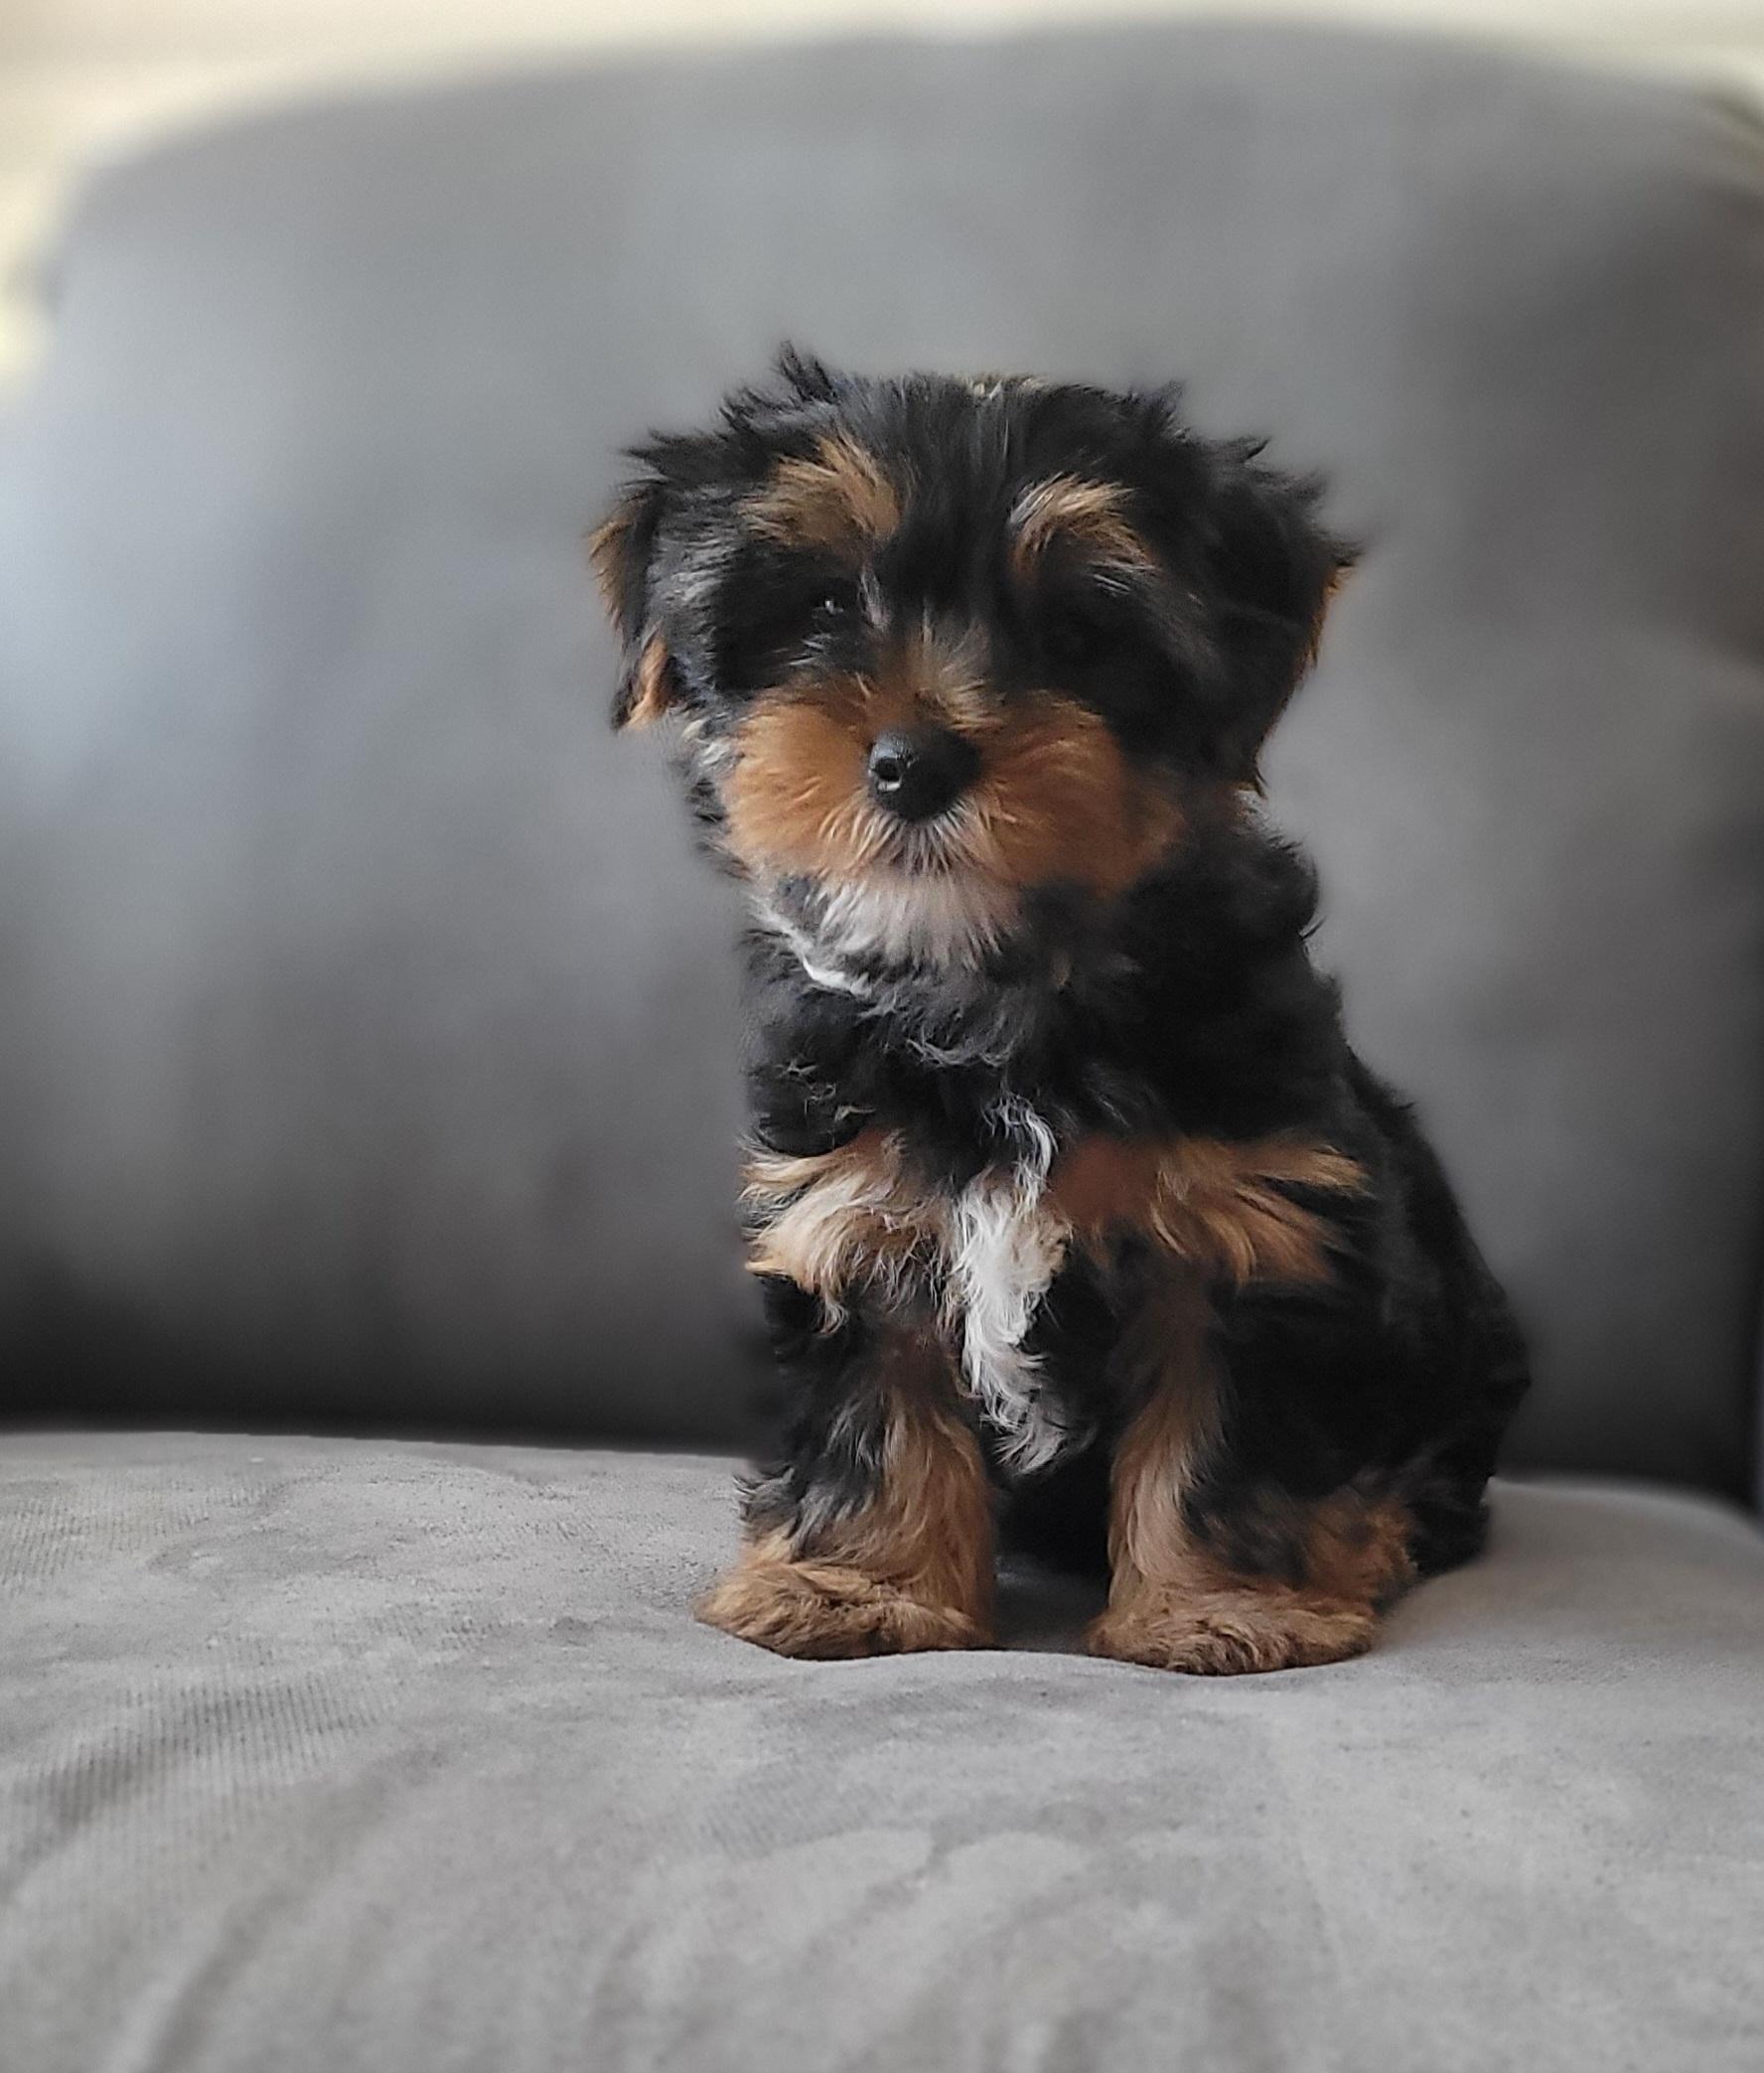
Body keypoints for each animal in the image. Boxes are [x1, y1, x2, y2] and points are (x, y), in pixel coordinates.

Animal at [592, 350, 1529, 1673]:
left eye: (1084, 633)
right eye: (821, 607)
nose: (915, 760)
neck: (1002, 995)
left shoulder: (1255, 1228)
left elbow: (1221, 1435)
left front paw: (1218, 1607)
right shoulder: (853, 1218)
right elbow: (877, 1414)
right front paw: (857, 1584)